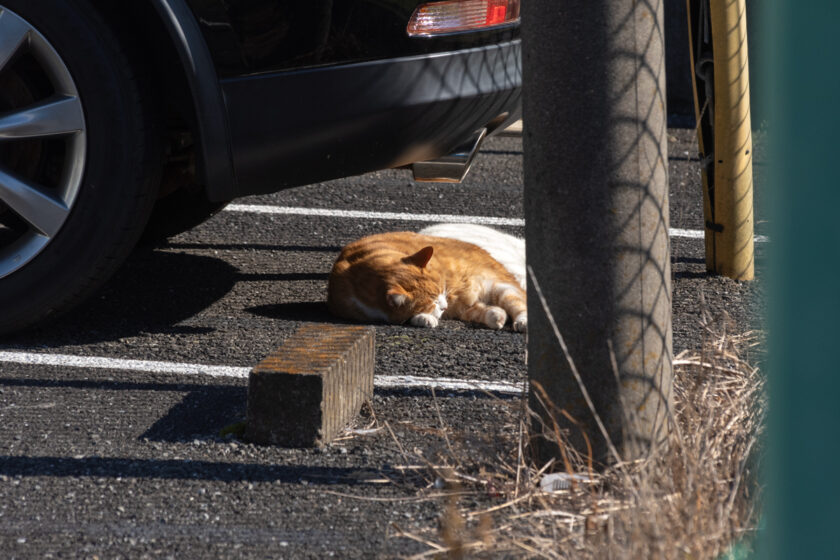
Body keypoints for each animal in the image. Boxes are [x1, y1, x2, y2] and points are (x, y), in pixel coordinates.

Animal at [326, 222, 524, 330]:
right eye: (431, 301)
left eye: (442, 289)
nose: (444, 306)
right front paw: (425, 317)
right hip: (470, 305)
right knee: (483, 310)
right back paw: (496, 316)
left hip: (499, 287)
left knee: (519, 304)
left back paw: (522, 322)